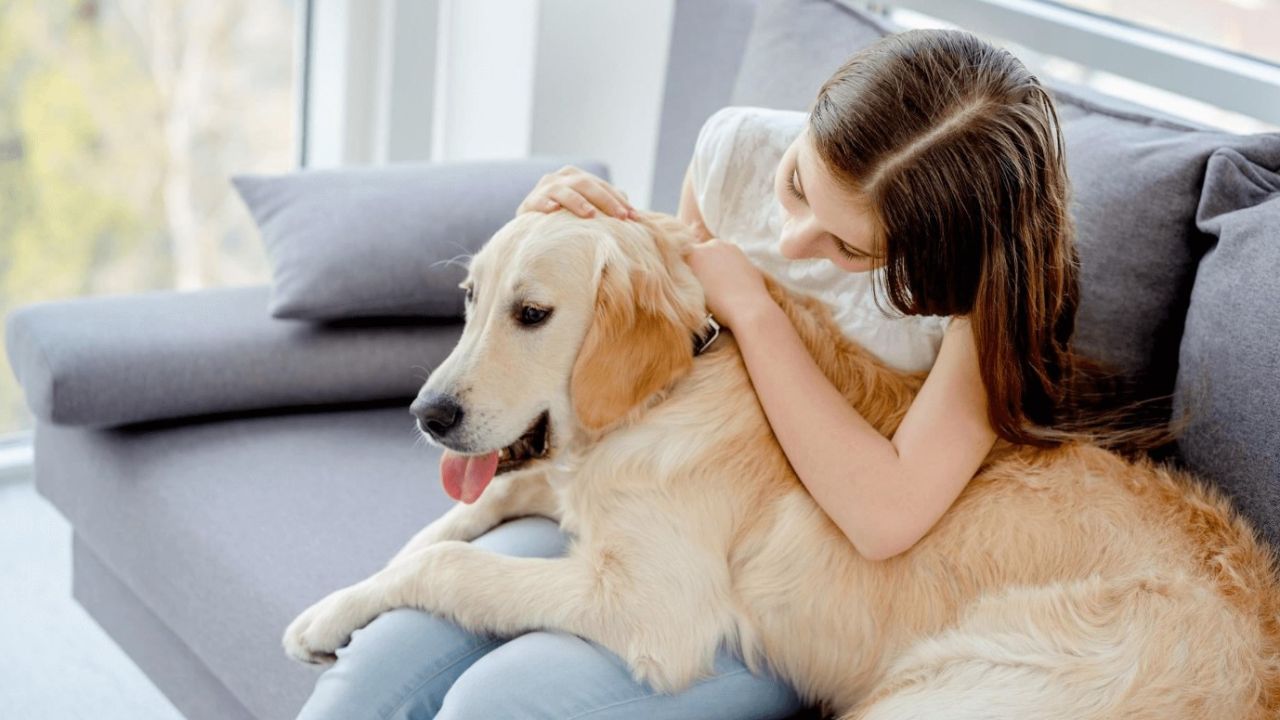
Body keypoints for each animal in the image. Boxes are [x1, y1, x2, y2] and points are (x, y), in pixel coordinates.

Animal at [285, 210, 1280, 712]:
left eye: (532, 314)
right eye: (469, 298)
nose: (427, 415)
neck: (682, 372)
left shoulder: (653, 607)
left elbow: (453, 563)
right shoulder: (558, 482)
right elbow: (448, 527)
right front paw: (330, 609)